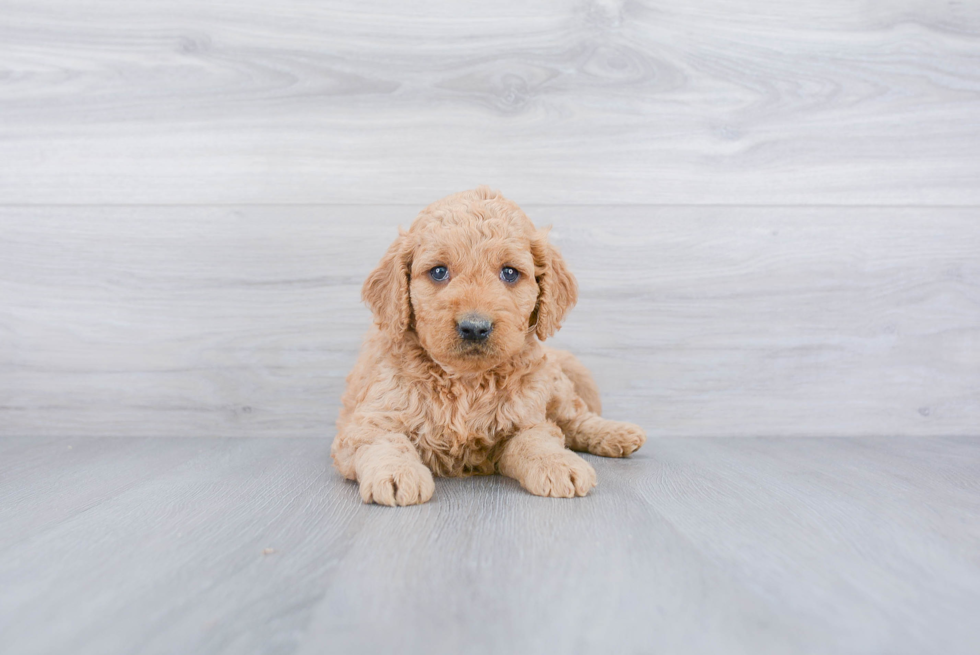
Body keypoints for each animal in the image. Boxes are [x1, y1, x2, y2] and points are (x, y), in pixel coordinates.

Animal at [334, 187, 648, 504]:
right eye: (438, 272)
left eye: (509, 273)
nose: (474, 327)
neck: (466, 380)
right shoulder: (368, 421)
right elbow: (385, 441)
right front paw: (397, 473)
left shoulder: (527, 418)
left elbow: (537, 440)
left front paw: (558, 463)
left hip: (554, 385)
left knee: (576, 418)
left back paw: (617, 433)